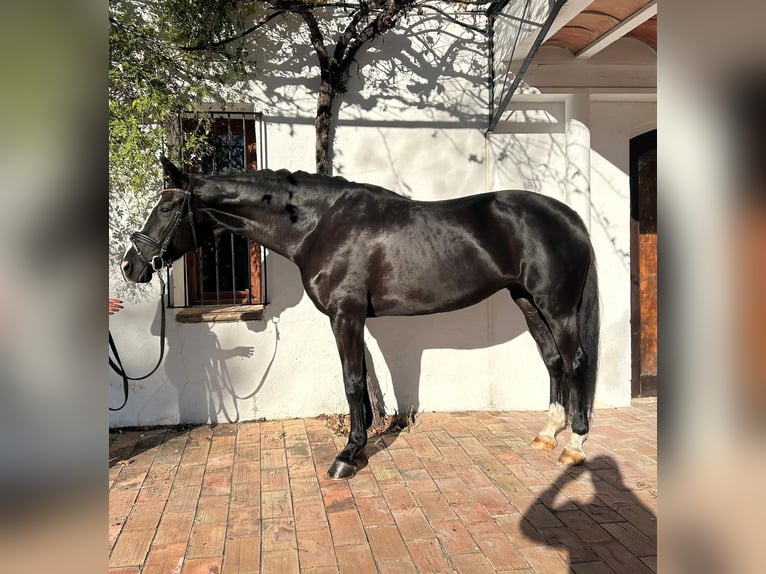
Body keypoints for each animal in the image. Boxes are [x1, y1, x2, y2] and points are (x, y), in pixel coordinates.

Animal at [121, 156, 600, 480]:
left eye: (166, 209)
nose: (131, 265)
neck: (321, 225)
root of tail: (570, 217)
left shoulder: (345, 315)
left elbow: (352, 381)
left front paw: (348, 455)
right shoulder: (354, 320)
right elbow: (361, 379)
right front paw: (360, 442)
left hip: (556, 307)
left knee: (575, 363)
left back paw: (575, 443)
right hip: (527, 302)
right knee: (553, 362)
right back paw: (547, 433)